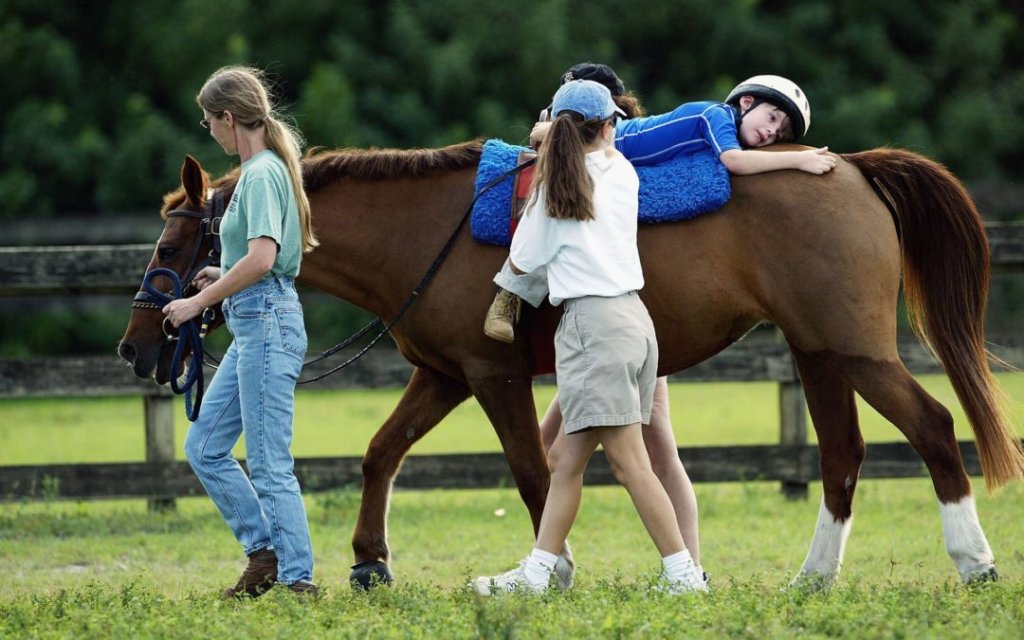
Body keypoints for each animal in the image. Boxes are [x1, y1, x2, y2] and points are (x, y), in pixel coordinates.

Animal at [119, 141, 1024, 589]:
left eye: (169, 247)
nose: (135, 345)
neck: (429, 228)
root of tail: (854, 170)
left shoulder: (493, 377)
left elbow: (532, 471)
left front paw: (553, 569)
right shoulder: (444, 375)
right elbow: (381, 453)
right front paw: (370, 560)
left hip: (857, 350)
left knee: (934, 428)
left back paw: (974, 561)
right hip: (818, 353)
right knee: (842, 456)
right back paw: (814, 577)